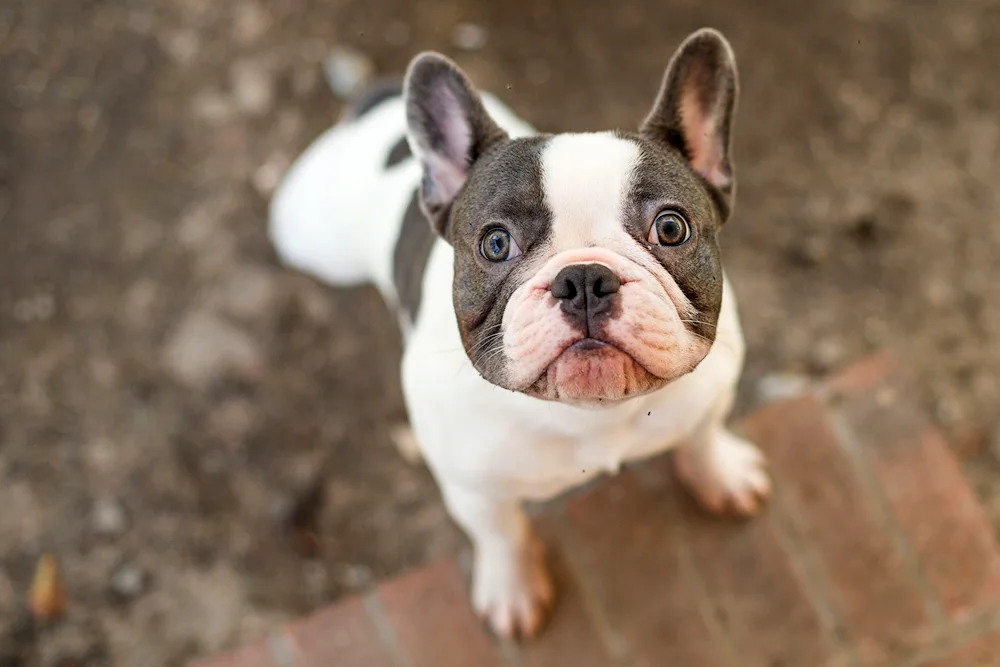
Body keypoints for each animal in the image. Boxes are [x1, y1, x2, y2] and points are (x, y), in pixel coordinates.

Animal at [270, 28, 768, 640]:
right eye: (495, 243)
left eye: (671, 228)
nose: (583, 278)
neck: (590, 415)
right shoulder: (473, 489)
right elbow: (501, 534)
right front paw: (512, 590)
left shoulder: (712, 394)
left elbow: (702, 435)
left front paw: (721, 475)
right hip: (310, 236)